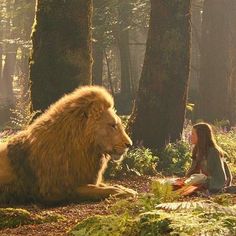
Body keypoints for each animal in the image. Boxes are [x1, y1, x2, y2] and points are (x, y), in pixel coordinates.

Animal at [0, 85, 136, 205]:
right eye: (112, 125)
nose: (129, 144)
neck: (86, 149)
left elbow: (105, 185)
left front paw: (126, 189)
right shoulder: (54, 191)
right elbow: (95, 189)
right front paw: (122, 192)